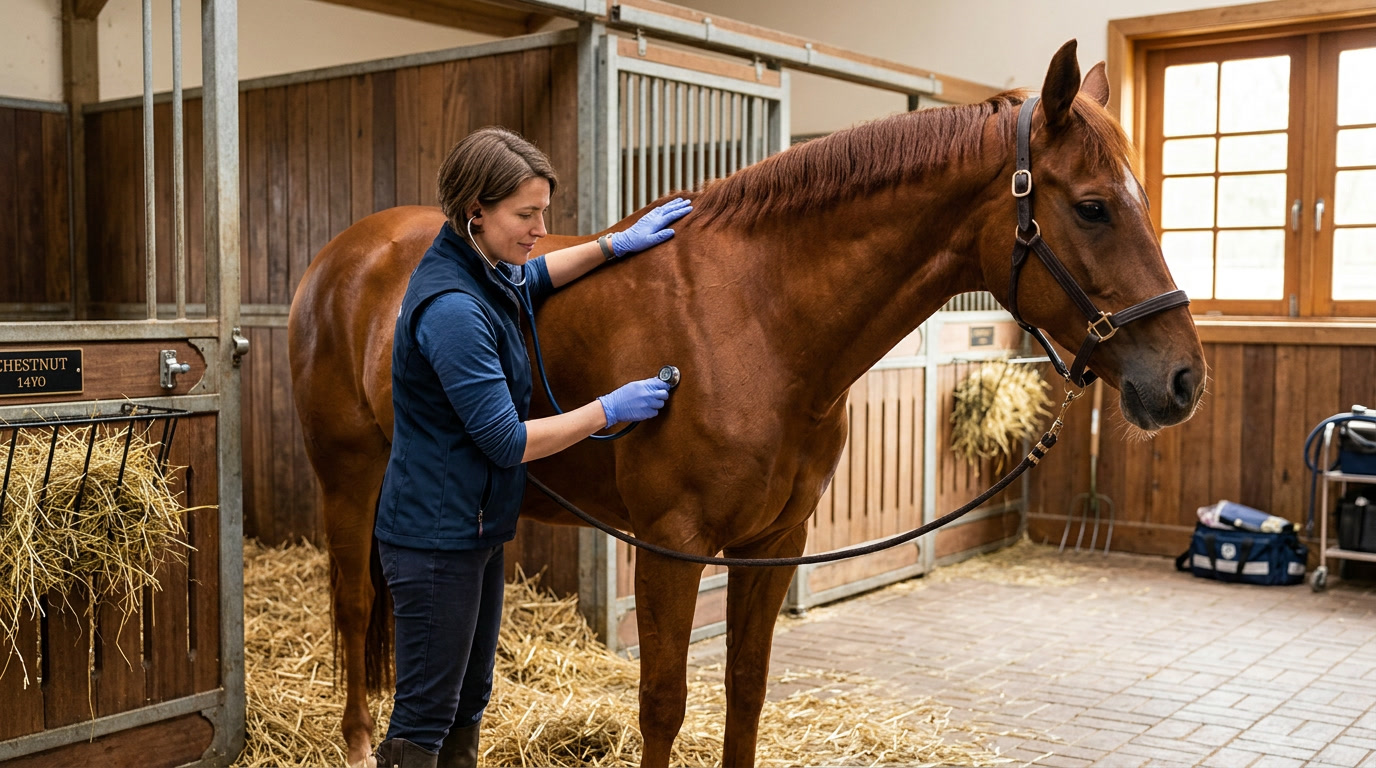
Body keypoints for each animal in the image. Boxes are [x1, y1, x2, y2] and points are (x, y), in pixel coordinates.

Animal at [288, 39, 1205, 768]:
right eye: (1092, 206)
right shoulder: (671, 547)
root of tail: (349, 255)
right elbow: (663, 706)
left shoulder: (776, 543)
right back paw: (357, 742)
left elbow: (745, 689)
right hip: (347, 477)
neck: (758, 318)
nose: (1184, 380)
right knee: (354, 605)